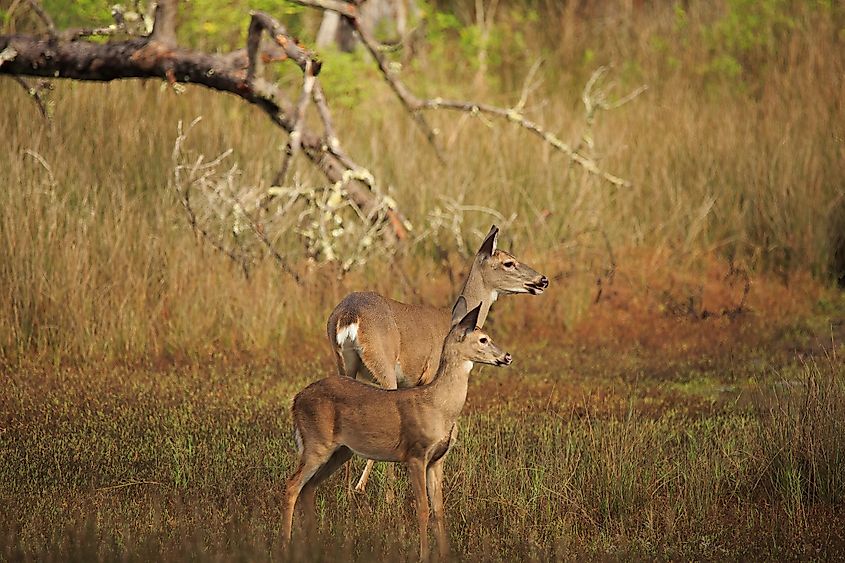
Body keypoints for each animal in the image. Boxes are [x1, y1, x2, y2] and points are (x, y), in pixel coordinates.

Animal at [282, 300, 508, 560]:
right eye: (483, 339)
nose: (507, 356)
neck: (439, 407)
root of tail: (296, 400)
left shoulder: (437, 460)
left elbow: (439, 510)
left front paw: (445, 555)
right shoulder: (416, 454)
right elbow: (423, 509)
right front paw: (423, 556)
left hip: (340, 451)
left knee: (308, 488)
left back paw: (314, 546)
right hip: (316, 442)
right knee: (292, 486)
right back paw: (285, 545)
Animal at [324, 225, 548, 494]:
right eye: (509, 262)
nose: (542, 280)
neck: (455, 318)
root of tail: (348, 316)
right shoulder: (430, 377)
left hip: (344, 364)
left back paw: (348, 488)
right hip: (384, 365)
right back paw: (379, 492)